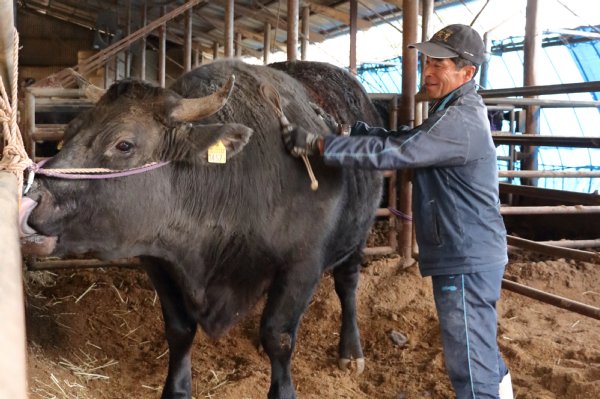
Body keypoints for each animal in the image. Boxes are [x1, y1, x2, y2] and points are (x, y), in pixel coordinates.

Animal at [19, 60, 384, 399]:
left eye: (123, 144)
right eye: (67, 135)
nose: (30, 201)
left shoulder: (302, 266)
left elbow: (278, 335)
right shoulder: (158, 262)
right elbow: (179, 330)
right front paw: (176, 390)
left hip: (358, 235)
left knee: (347, 284)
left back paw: (351, 351)